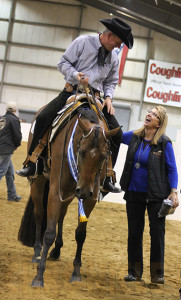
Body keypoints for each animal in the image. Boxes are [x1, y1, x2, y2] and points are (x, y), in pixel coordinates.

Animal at [18, 104, 120, 288]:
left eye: (104, 155)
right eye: (82, 151)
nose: (84, 191)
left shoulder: (89, 198)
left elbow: (80, 234)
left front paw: (76, 272)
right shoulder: (54, 191)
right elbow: (49, 232)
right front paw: (39, 277)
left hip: (70, 193)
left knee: (61, 215)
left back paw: (57, 250)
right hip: (39, 182)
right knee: (39, 214)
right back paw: (37, 252)